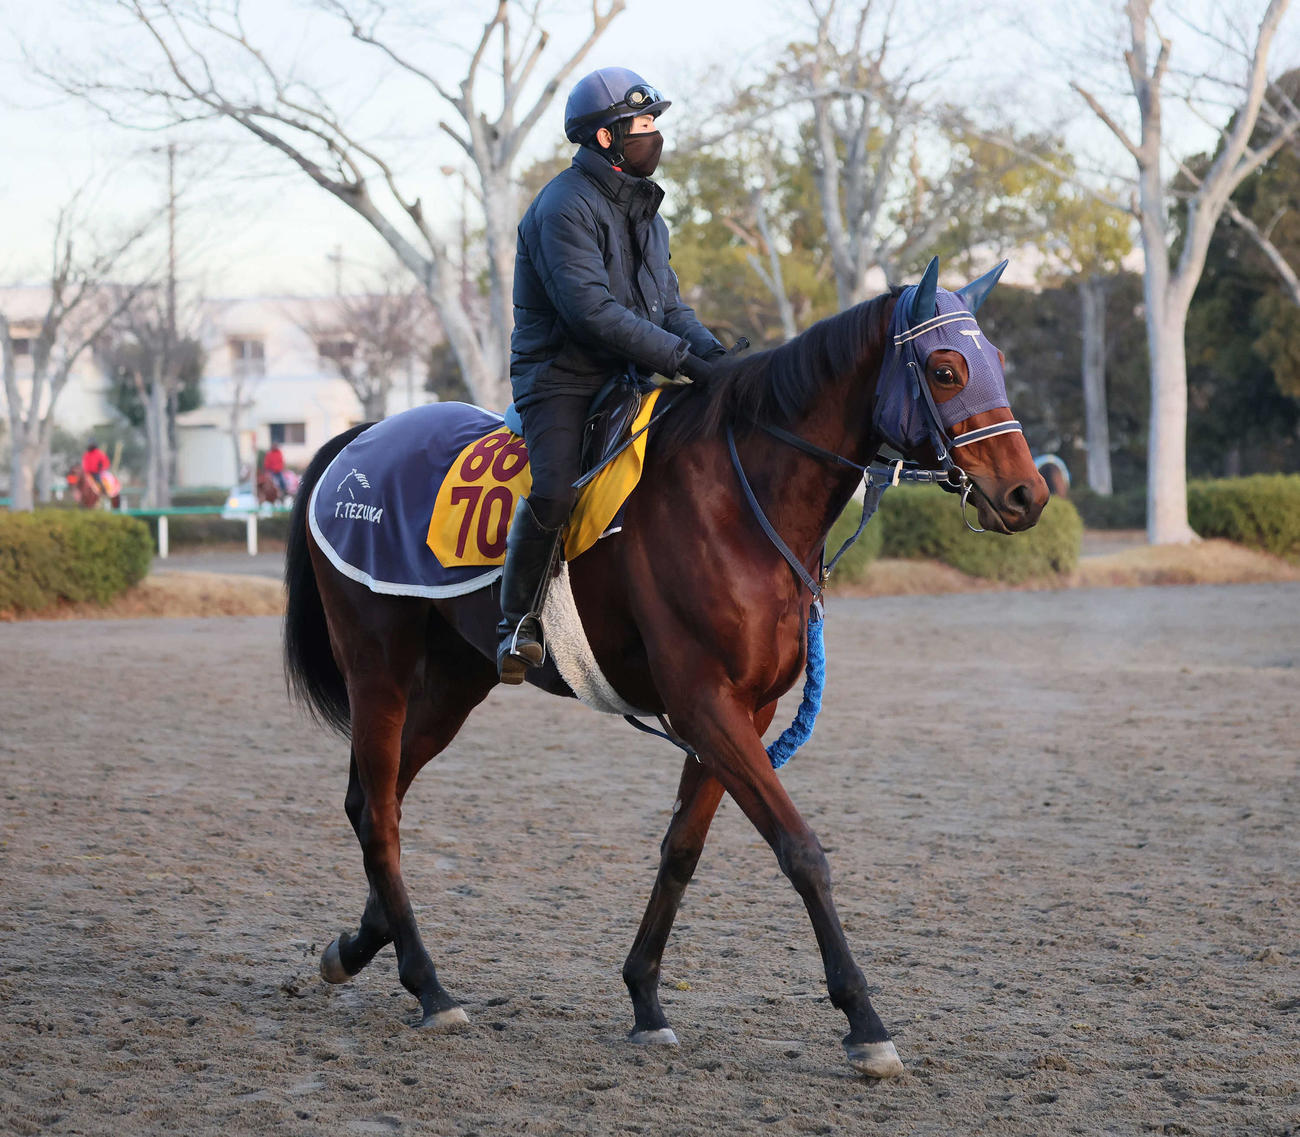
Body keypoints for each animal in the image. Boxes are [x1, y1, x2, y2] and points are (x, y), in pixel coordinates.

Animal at [282, 258, 1049, 1079]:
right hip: (379, 664)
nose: (1028, 494)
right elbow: (801, 850)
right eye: (946, 369)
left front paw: (645, 997)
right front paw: (864, 1019)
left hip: (458, 679)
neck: (740, 501)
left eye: (998, 361)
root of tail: (359, 441)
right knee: (381, 814)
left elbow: (682, 847)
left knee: (375, 799)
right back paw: (429, 985)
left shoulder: (745, 710)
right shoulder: (705, 701)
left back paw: (358, 947)